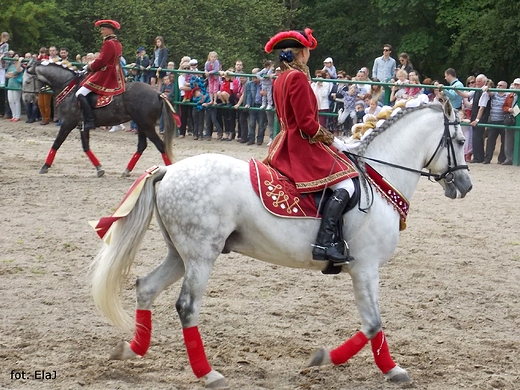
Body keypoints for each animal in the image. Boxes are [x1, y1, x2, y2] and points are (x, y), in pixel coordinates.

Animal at [25, 60, 177, 177]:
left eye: (27, 81)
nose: (27, 99)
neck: (69, 88)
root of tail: (158, 93)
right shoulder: (82, 125)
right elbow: (86, 147)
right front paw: (99, 169)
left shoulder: (68, 123)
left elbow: (56, 143)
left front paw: (45, 166)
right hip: (141, 125)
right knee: (141, 146)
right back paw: (126, 171)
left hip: (146, 125)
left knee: (160, 145)